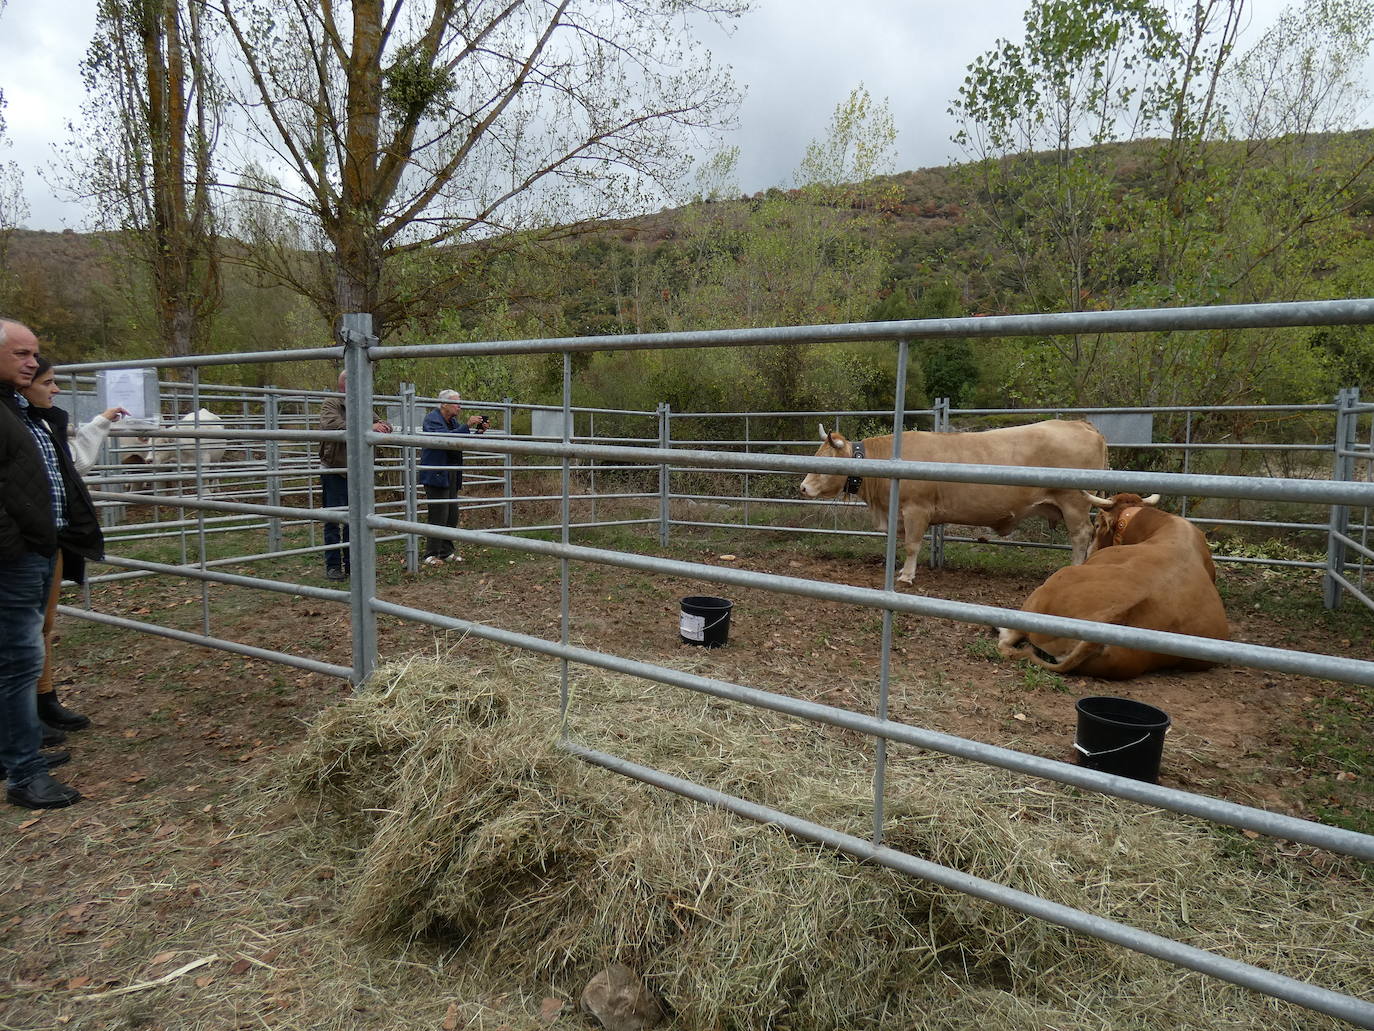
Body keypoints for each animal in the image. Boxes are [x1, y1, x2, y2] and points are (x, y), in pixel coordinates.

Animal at [802, 415, 1110, 585]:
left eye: (823, 464)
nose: (803, 488)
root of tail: (1080, 424)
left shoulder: (916, 510)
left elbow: (912, 545)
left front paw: (906, 575)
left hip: (1074, 503)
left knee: (1081, 535)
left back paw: (1074, 569)